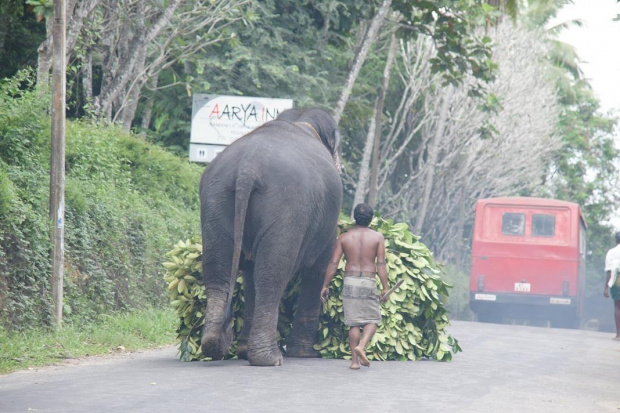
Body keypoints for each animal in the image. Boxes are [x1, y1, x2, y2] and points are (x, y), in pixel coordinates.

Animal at [200, 108, 342, 366]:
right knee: (272, 275)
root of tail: (247, 168)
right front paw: (307, 354)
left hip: (215, 198)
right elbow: (319, 268)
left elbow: (249, 274)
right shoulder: (328, 221)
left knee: (221, 271)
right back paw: (269, 358)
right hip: (287, 206)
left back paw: (216, 346)